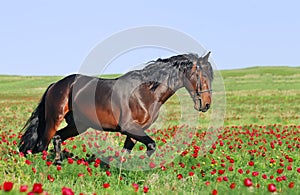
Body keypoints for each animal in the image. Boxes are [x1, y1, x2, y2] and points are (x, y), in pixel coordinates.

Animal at [18, 52, 213, 165]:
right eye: (201, 75)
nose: (206, 104)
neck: (145, 93)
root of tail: (56, 85)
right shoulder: (128, 127)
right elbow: (151, 145)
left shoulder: (135, 131)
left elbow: (127, 152)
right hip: (53, 119)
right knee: (42, 145)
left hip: (78, 125)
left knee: (57, 138)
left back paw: (59, 163)